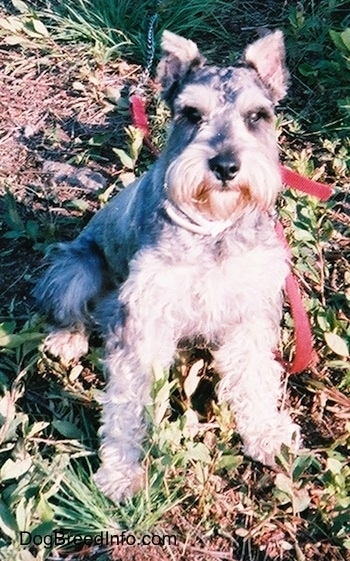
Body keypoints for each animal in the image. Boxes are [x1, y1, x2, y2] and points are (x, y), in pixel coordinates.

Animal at [35, 30, 300, 500]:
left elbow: (256, 377)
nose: (226, 165)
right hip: (76, 265)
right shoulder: (143, 317)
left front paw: (267, 435)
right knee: (67, 305)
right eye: (192, 114)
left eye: (257, 115)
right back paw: (67, 338)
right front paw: (121, 472)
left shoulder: (251, 308)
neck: (214, 228)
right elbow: (127, 403)